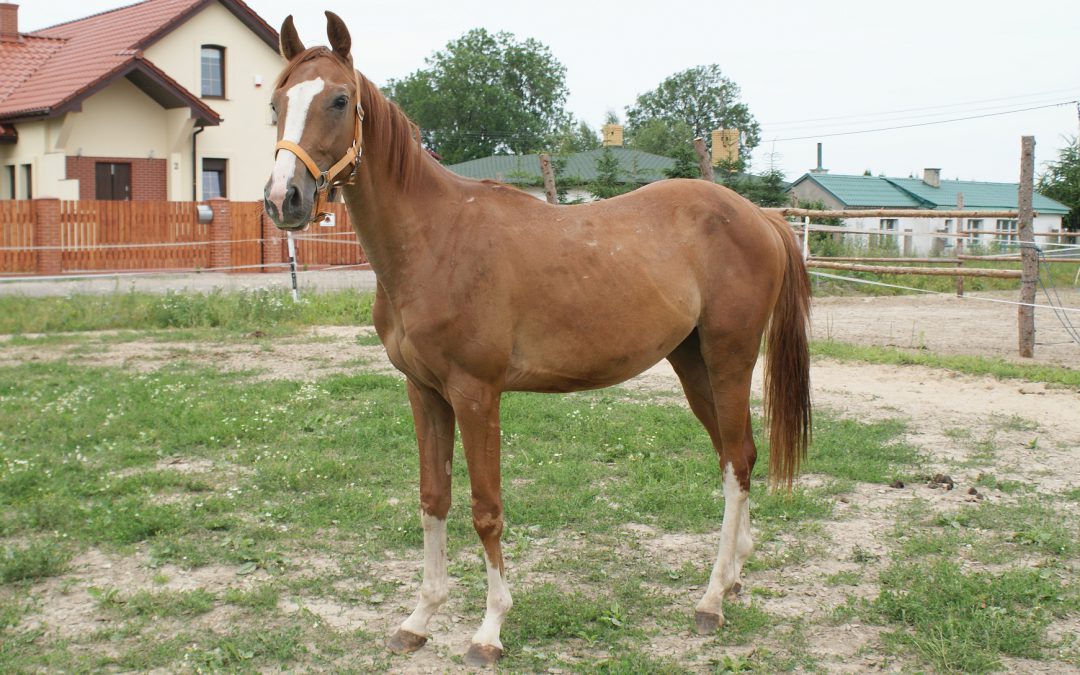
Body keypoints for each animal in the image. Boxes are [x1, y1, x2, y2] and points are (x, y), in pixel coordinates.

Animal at [263, 13, 812, 665]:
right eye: (276, 103)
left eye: (340, 100)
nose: (284, 200)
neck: (434, 239)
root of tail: (761, 217)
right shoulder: (424, 392)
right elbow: (433, 500)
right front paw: (420, 618)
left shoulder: (476, 395)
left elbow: (486, 509)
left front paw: (489, 629)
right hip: (693, 363)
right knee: (736, 455)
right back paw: (733, 577)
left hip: (729, 359)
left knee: (736, 463)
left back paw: (711, 600)